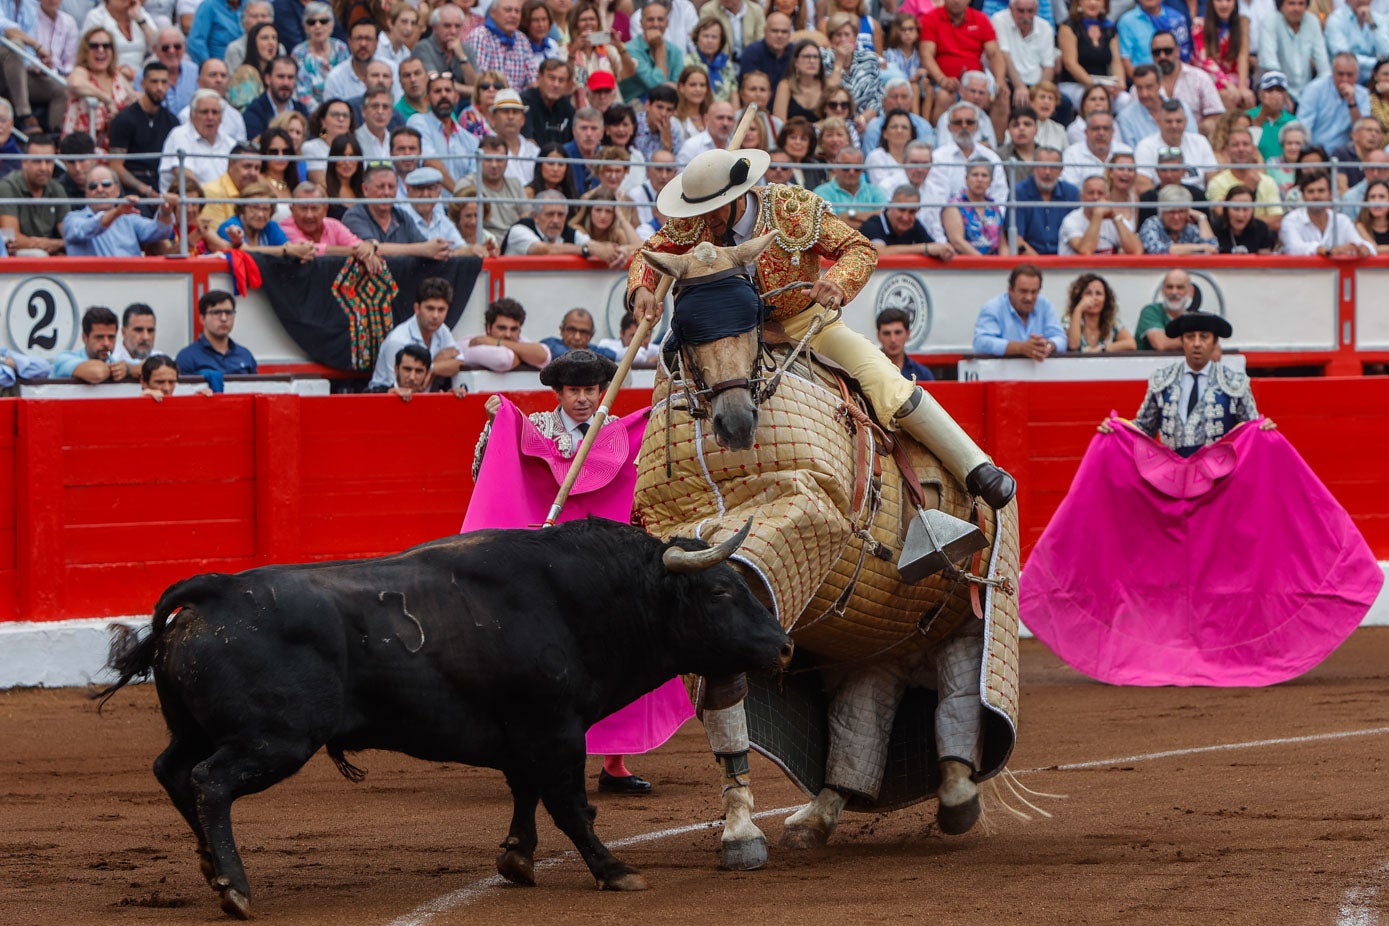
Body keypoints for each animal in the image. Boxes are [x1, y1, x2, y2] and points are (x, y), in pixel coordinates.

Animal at [97, 522, 794, 921]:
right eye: (722, 593)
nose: (784, 647)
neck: (580, 597)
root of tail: (213, 594)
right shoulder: (556, 729)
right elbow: (569, 804)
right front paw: (614, 871)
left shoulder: (524, 733)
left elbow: (524, 793)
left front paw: (516, 860)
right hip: (275, 739)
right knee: (209, 782)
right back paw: (235, 888)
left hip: (196, 729)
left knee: (172, 771)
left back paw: (211, 867)